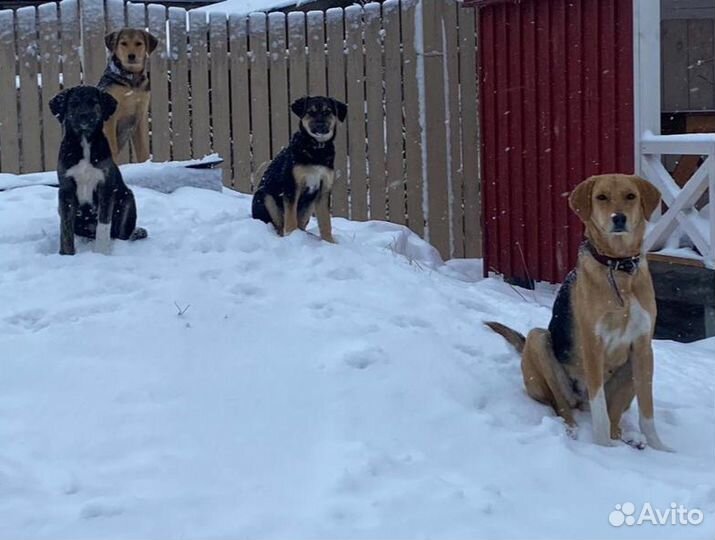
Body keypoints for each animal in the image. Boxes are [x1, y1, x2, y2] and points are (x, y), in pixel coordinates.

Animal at [49, 86, 147, 255]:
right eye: (73, 103)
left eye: (93, 102)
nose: (84, 116)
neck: (84, 141)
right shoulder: (66, 189)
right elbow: (66, 228)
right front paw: (67, 254)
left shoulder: (105, 186)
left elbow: (103, 224)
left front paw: (101, 253)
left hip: (127, 199)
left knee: (119, 233)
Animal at [97, 28, 157, 162]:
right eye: (123, 43)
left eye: (139, 43)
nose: (131, 56)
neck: (130, 79)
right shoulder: (110, 118)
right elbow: (112, 148)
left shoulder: (140, 115)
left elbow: (143, 150)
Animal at [253, 95, 348, 243]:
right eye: (310, 112)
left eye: (327, 112)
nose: (320, 126)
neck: (316, 149)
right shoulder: (292, 186)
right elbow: (291, 218)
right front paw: (292, 236)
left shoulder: (323, 190)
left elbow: (325, 221)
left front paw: (329, 242)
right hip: (266, 198)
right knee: (278, 224)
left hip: (308, 206)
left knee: (300, 224)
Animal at [486, 174, 672, 452]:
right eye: (601, 197)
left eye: (630, 196)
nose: (619, 218)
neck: (619, 268)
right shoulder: (593, 344)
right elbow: (599, 411)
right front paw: (602, 448)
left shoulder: (642, 346)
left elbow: (646, 411)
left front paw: (659, 448)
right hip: (539, 340)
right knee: (563, 407)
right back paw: (572, 432)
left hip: (631, 368)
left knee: (614, 416)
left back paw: (629, 439)